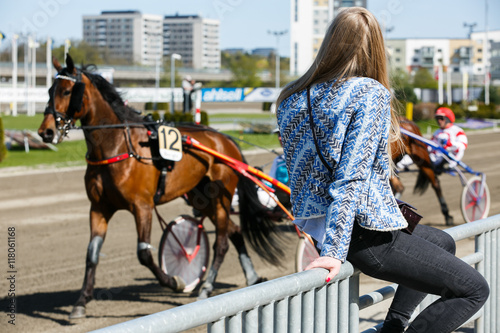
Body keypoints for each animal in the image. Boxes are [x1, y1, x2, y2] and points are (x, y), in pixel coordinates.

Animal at [37, 55, 284, 320]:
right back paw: (251, 277)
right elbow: (91, 254)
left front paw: (175, 281)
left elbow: (144, 254)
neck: (117, 146)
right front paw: (81, 302)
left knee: (222, 242)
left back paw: (206, 287)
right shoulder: (99, 207)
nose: (46, 131)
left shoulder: (142, 206)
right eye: (49, 90)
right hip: (200, 198)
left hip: (220, 198)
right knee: (235, 231)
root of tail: (227, 141)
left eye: (67, 91)